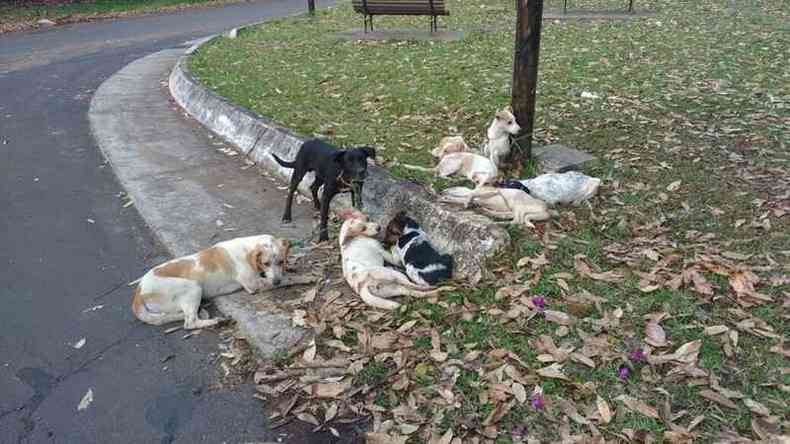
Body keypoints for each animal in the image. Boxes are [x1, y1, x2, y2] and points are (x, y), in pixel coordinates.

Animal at [131, 236, 314, 330]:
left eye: (281, 261)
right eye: (266, 263)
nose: (276, 282)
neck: (247, 249)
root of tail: (138, 292)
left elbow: (286, 274)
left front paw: (292, 270)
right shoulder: (253, 284)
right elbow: (289, 279)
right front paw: (306, 277)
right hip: (192, 287)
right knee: (189, 323)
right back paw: (216, 321)